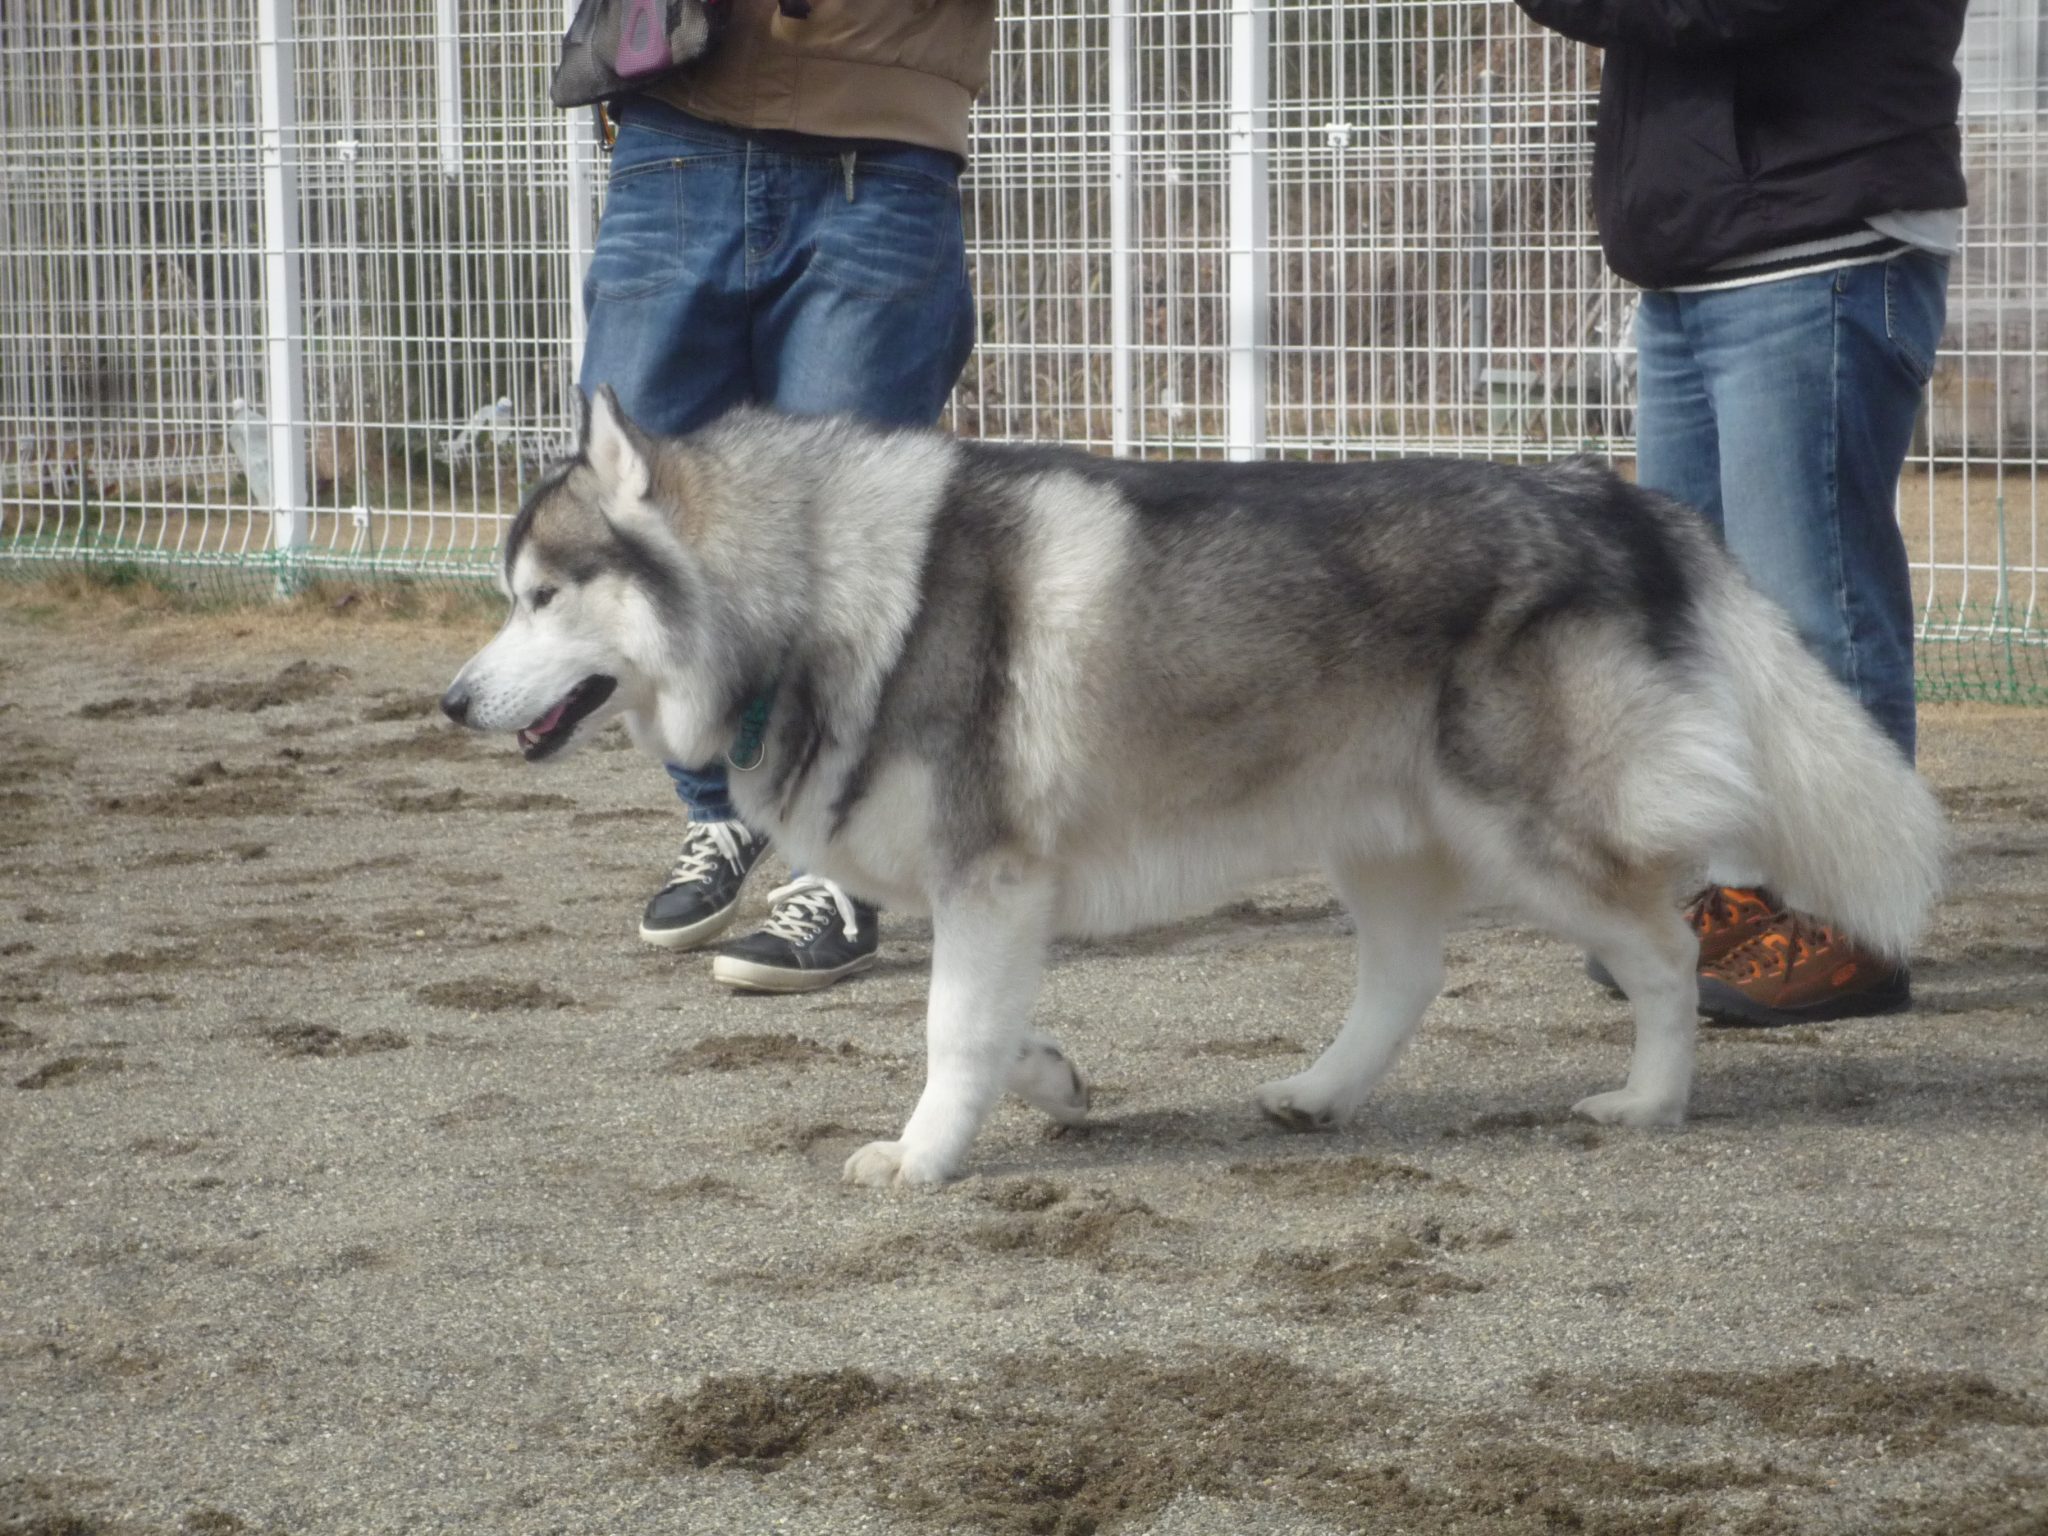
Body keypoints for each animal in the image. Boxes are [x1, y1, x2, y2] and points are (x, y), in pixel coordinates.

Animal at [440, 393, 1941, 1187]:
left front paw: (923, 1158)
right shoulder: (1000, 898)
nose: (450, 702)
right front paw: (1048, 1081)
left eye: (539, 599)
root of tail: (1625, 499)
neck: (818, 590)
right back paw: (1322, 1094)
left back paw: (1649, 1103)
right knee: (1406, 975)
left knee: (1669, 951)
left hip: (1532, 834)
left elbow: (947, 1031)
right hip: (1379, 834)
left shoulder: (990, 876)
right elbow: (992, 1025)